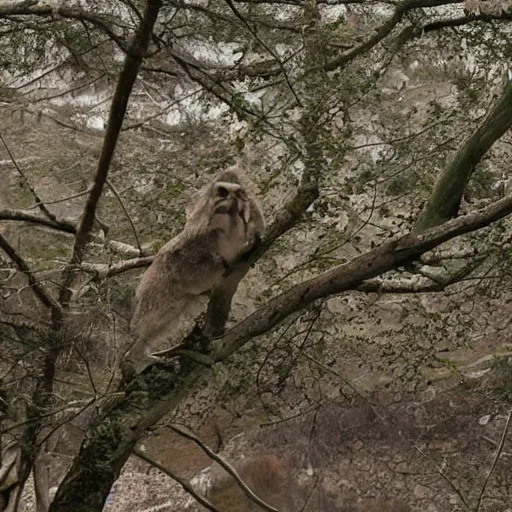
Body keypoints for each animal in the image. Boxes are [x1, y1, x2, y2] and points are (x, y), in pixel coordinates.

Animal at [123, 166, 264, 374]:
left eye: (239, 193)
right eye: (222, 191)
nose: (231, 194)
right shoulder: (197, 252)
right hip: (159, 295)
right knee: (150, 325)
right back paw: (140, 358)